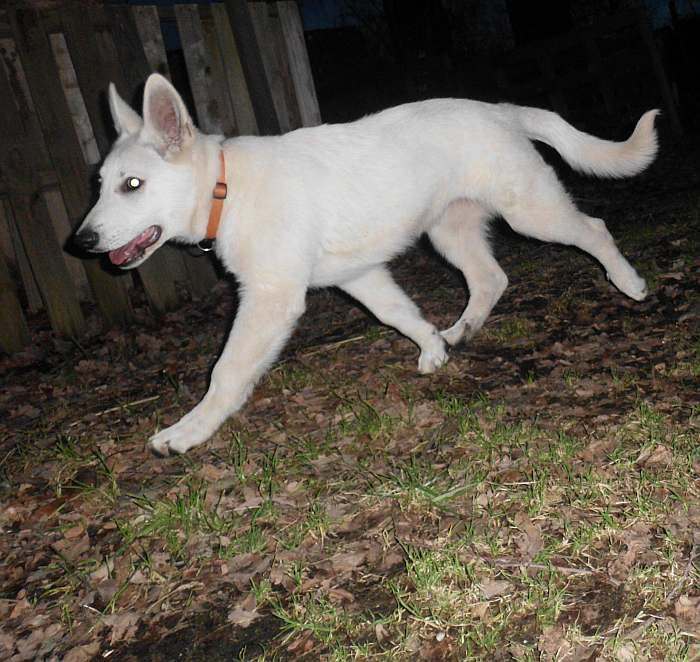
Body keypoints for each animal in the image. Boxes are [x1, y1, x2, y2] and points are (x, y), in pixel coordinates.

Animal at [74, 72, 660, 456]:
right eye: (100, 185)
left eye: (133, 185)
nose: (82, 241)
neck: (226, 188)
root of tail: (498, 109)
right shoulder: (359, 277)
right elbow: (400, 316)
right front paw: (434, 348)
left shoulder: (270, 299)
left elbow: (226, 371)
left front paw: (188, 432)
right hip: (449, 233)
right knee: (490, 278)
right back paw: (462, 330)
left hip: (531, 214)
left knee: (593, 230)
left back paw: (628, 282)